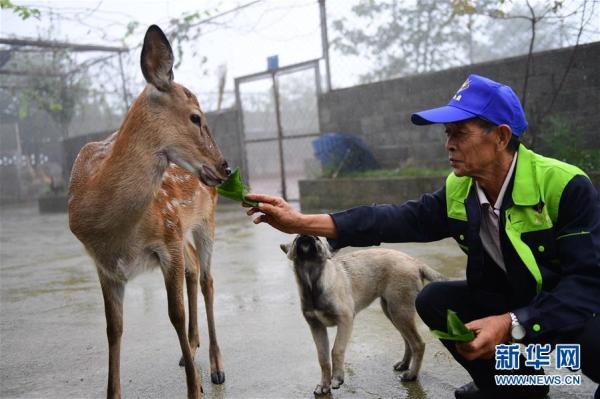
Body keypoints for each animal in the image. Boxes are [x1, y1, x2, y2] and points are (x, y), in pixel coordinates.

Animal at [67, 25, 227, 399]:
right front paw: (112, 393)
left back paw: (215, 367)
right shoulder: (104, 264)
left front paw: (194, 390)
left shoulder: (166, 238)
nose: (225, 167)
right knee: (194, 267)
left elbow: (175, 315)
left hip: (205, 218)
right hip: (184, 227)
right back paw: (192, 350)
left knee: (208, 278)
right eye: (196, 117)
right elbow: (113, 328)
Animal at [280, 236, 446, 396]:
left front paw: (337, 378)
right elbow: (323, 358)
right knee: (408, 341)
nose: (305, 236)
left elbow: (336, 349)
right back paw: (404, 364)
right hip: (392, 311)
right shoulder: (316, 326)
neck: (313, 283)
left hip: (400, 311)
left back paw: (411, 375)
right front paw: (324, 385)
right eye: (296, 238)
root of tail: (415, 262)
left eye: (317, 238)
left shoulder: (345, 320)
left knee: (418, 343)